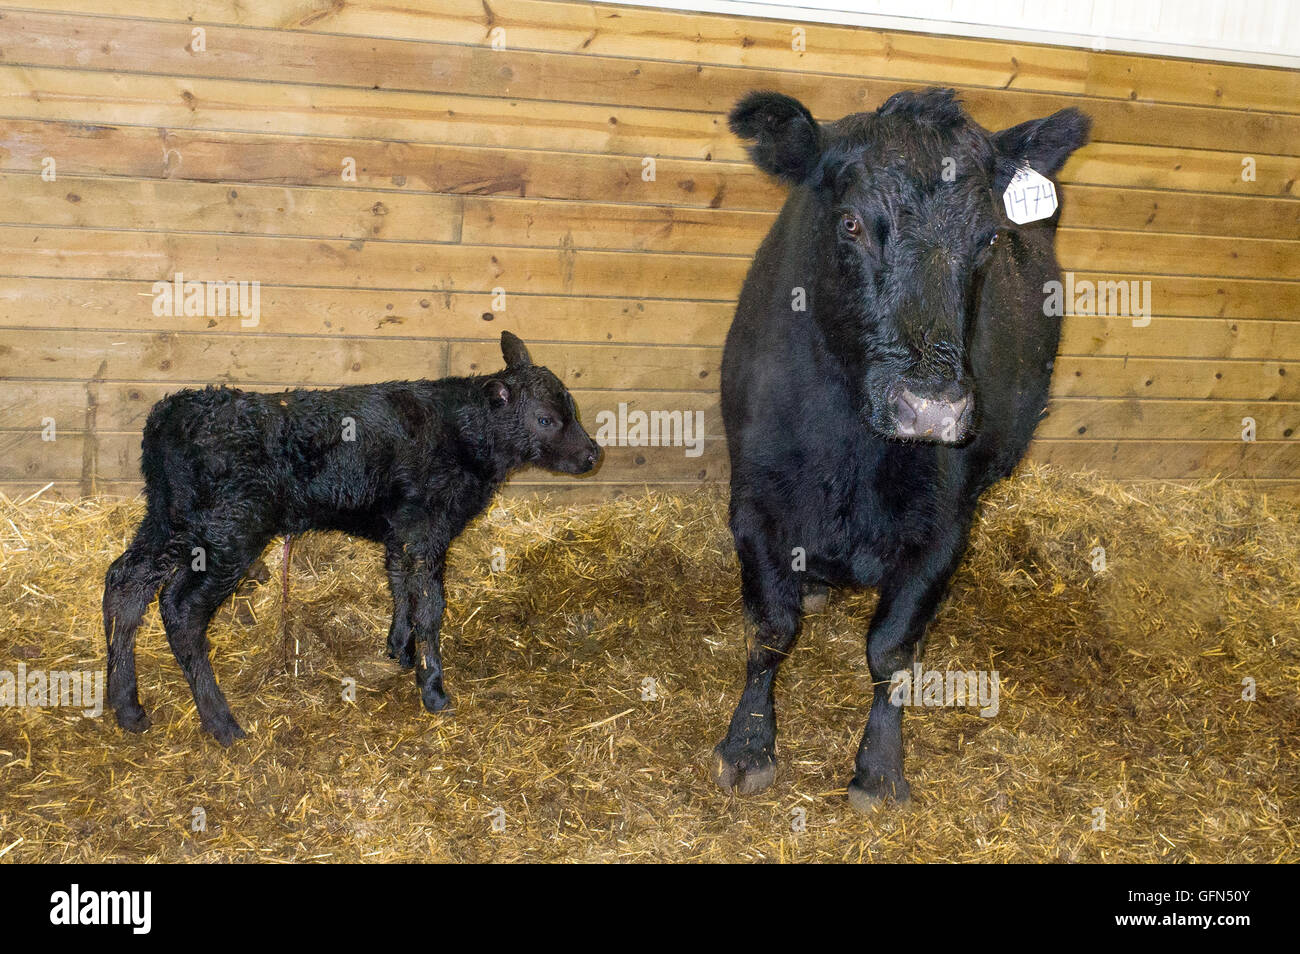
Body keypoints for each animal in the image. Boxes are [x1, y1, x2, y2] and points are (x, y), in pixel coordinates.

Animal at [102, 332, 600, 744]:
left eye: (571, 409)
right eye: (546, 419)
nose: (594, 454)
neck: (465, 435)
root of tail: (174, 412)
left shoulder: (403, 530)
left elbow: (400, 585)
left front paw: (399, 650)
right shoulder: (428, 529)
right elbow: (431, 606)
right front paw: (434, 689)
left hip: (169, 518)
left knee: (126, 581)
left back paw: (127, 706)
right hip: (229, 530)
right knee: (181, 608)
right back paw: (220, 721)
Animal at [711, 88, 1090, 810]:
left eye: (989, 239)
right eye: (852, 223)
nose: (933, 407)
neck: (852, 449)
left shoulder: (945, 527)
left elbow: (891, 650)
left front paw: (879, 768)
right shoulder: (753, 499)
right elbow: (770, 630)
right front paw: (747, 744)